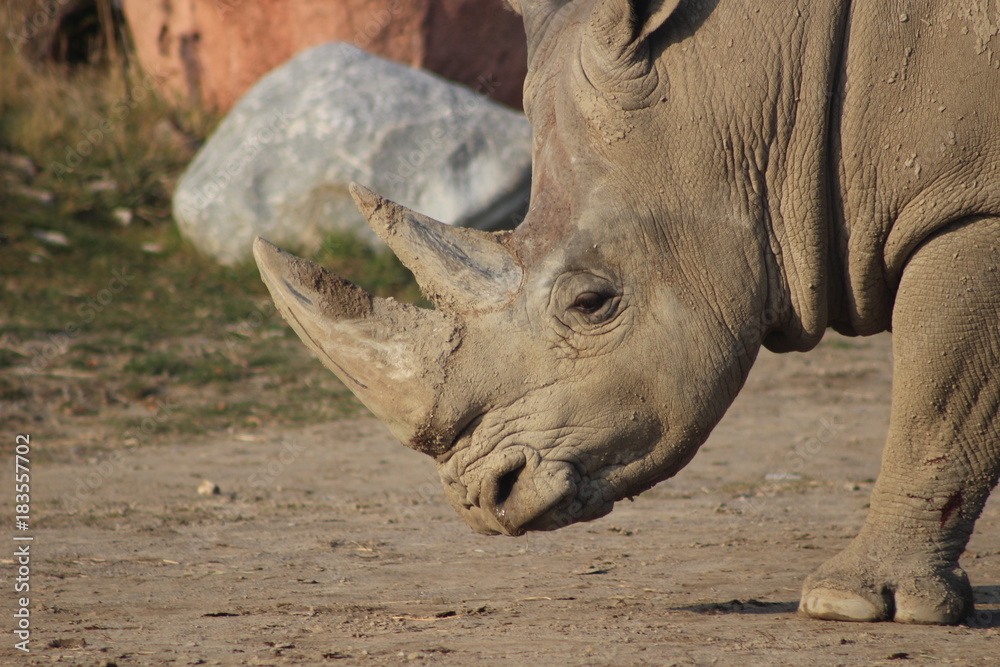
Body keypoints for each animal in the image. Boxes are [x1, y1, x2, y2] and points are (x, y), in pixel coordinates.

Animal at [253, 0, 1000, 625]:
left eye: (591, 303)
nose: (483, 499)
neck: (781, 91)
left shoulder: (970, 205)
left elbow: (939, 399)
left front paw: (848, 605)